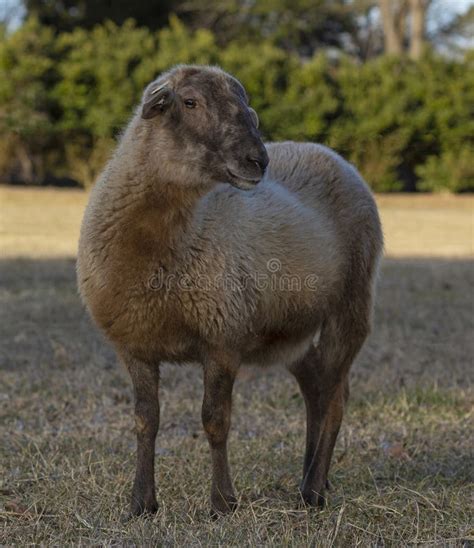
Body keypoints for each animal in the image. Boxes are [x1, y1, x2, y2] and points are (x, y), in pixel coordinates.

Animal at [77, 64, 382, 520]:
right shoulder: (135, 346)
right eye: (189, 102)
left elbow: (214, 421)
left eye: (247, 109)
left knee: (334, 398)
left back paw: (312, 491)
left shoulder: (221, 337)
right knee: (315, 387)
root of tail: (328, 153)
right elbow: (145, 421)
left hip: (351, 304)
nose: (259, 160)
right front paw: (141, 503)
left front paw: (222, 502)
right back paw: (311, 477)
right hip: (290, 329)